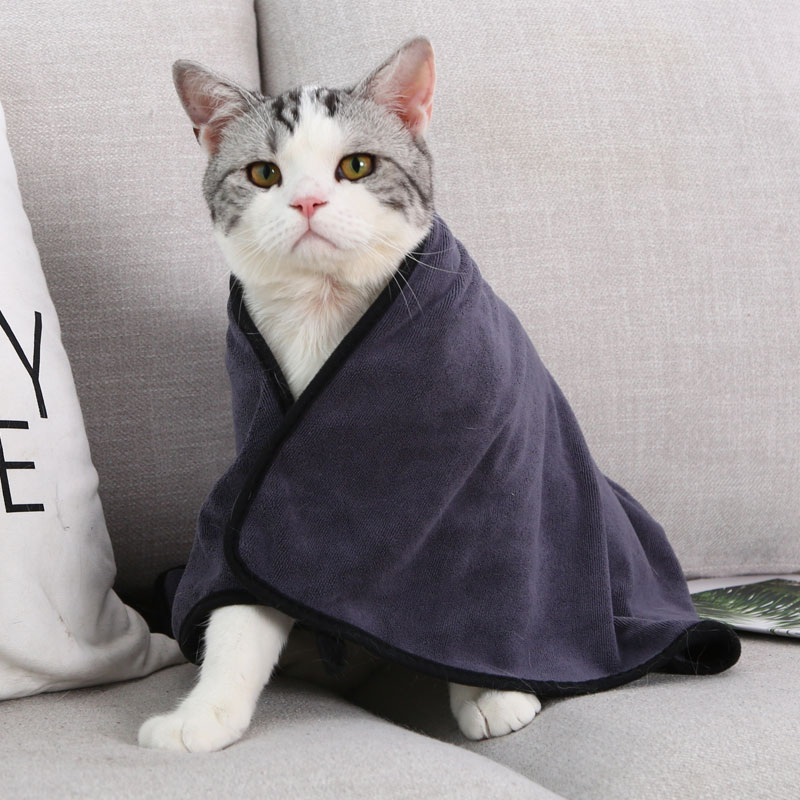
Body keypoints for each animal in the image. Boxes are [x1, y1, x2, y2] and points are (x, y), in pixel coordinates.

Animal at [138, 36, 541, 753]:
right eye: (263, 174)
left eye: (356, 166)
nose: (307, 203)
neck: (323, 318)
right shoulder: (259, 483)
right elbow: (239, 605)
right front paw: (203, 714)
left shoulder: (488, 465)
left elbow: (479, 582)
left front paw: (491, 691)